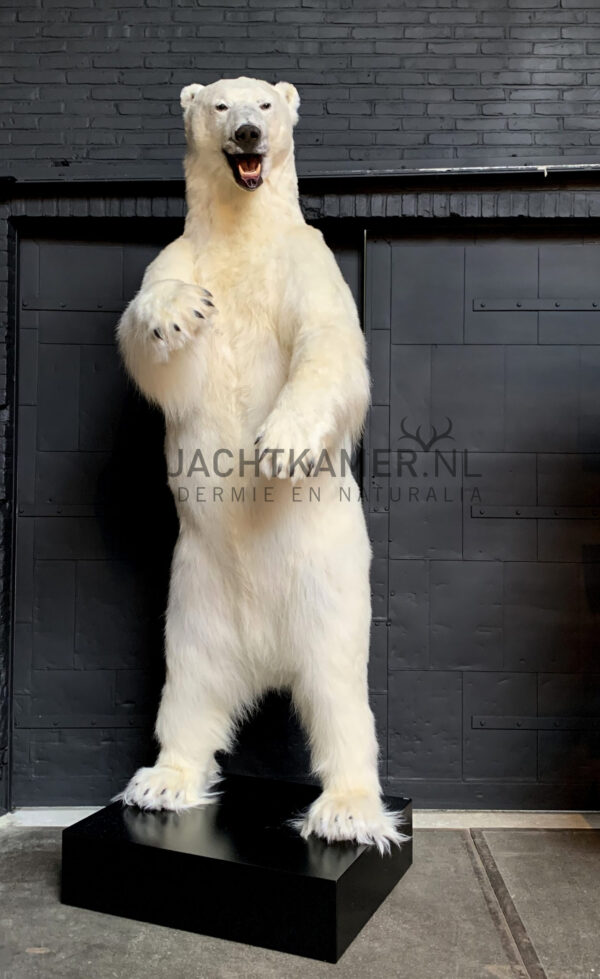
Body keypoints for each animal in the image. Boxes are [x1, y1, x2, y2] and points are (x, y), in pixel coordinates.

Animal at [115, 76, 406, 852]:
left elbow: (331, 348)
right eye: (220, 105)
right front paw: (178, 312)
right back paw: (163, 780)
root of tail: (266, 659)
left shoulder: (309, 266)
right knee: (188, 691)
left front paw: (278, 446)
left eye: (266, 106)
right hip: (193, 606)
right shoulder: (180, 254)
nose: (247, 134)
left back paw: (346, 810)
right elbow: (151, 349)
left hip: (330, 591)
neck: (244, 233)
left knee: (340, 696)